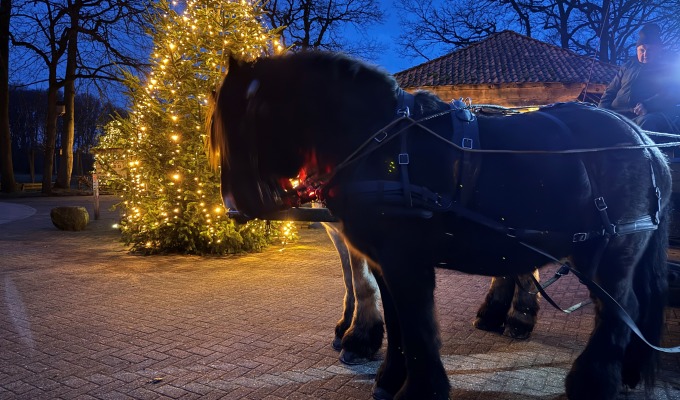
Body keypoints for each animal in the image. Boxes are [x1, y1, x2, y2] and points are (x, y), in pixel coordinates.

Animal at [208, 51, 671, 400]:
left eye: (252, 113)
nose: (235, 205)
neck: (381, 143)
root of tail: (646, 142)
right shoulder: (383, 262)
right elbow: (397, 322)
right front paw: (387, 374)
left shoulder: (407, 262)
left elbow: (417, 327)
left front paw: (417, 389)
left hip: (608, 255)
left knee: (620, 310)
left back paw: (590, 381)